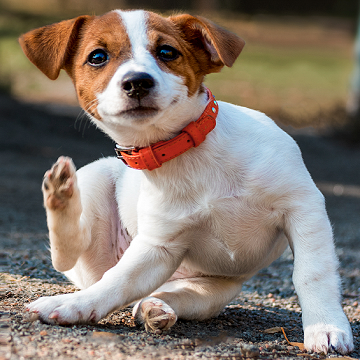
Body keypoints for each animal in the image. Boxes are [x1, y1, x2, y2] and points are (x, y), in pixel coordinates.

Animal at [19, 9, 354, 354]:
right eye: (98, 57)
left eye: (167, 51)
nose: (137, 82)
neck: (188, 154)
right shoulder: (159, 246)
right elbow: (116, 281)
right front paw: (75, 305)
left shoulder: (303, 207)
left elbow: (312, 273)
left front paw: (325, 326)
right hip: (96, 185)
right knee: (71, 257)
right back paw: (61, 195)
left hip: (210, 293)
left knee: (159, 294)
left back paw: (155, 308)